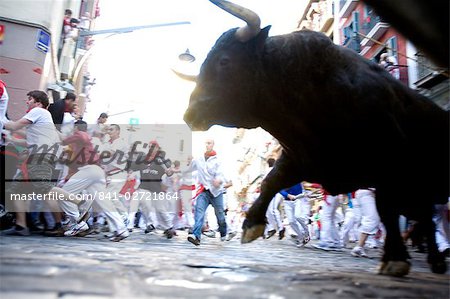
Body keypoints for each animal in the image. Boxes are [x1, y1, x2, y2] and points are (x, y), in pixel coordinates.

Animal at [178, 0, 448, 278]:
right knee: (424, 217)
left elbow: (386, 210)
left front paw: (395, 259)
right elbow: (270, 181)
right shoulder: (302, 157)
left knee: (423, 217)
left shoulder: (389, 164)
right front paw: (252, 224)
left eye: (224, 60)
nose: (190, 114)